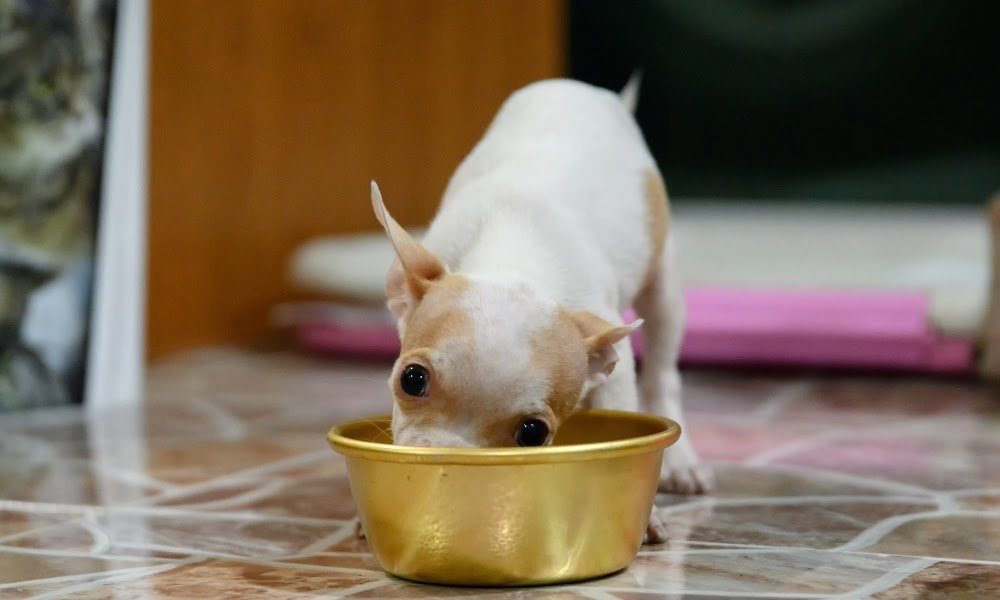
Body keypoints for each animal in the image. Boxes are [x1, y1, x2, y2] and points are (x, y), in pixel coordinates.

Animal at [368, 76, 712, 544]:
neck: (515, 260)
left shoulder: (612, 356)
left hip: (663, 284)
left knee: (662, 371)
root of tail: (585, 89)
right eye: (411, 379)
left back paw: (682, 463)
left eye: (532, 433)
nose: (444, 463)